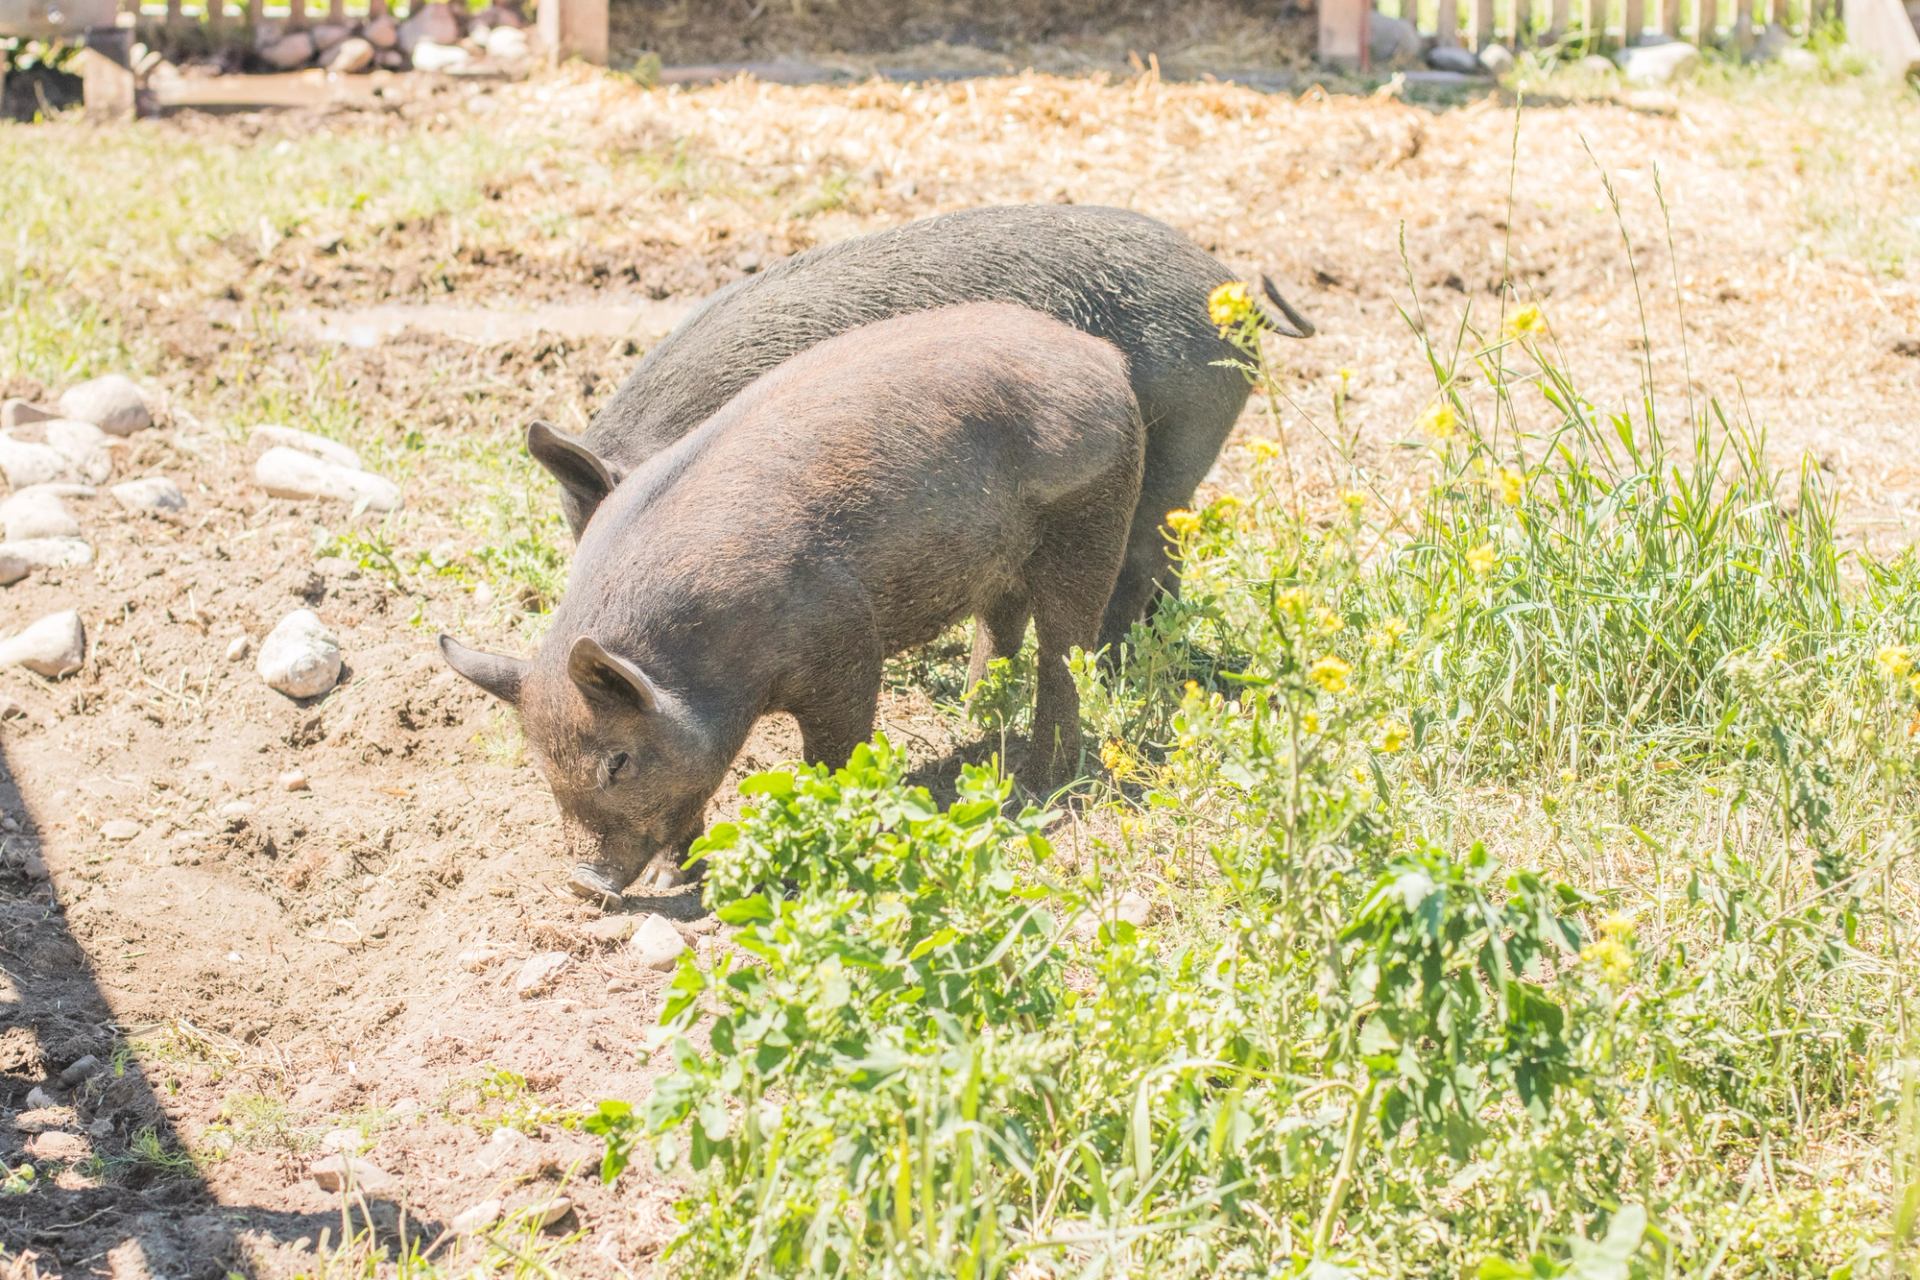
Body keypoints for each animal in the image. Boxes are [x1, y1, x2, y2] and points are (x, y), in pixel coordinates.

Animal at [442, 304, 1145, 900]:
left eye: (617, 761)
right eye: (542, 766)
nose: (583, 885)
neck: (707, 655)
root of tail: (1102, 358)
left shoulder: (846, 644)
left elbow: (835, 752)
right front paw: (675, 881)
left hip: (1093, 520)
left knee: (1065, 652)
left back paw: (1039, 784)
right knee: (1001, 626)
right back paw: (975, 718)